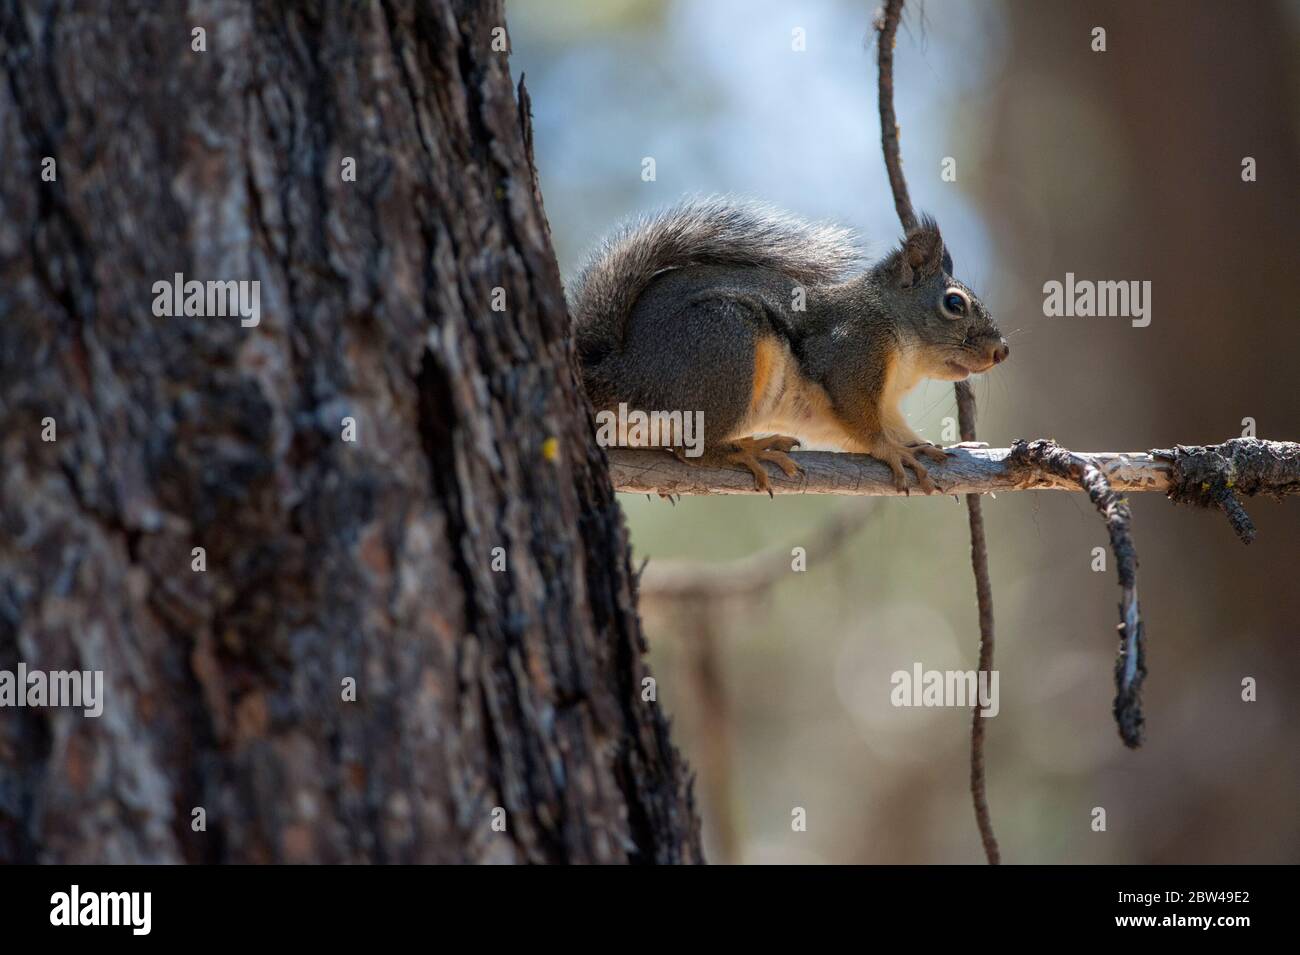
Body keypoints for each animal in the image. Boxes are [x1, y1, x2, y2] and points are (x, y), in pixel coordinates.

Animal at [567, 196, 1008, 494]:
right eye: (954, 304)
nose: (1001, 351)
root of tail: (620, 372)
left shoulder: (884, 402)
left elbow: (887, 426)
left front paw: (921, 445)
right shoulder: (852, 351)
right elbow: (863, 423)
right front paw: (893, 451)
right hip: (724, 346)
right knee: (690, 449)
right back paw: (746, 450)